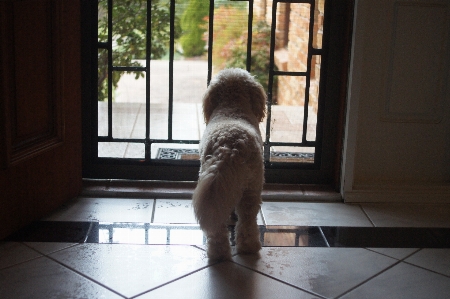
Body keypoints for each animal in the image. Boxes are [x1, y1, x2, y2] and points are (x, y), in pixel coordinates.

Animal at [192, 68, 266, 260]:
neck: (232, 106)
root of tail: (229, 146)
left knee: (219, 227)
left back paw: (218, 252)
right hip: (252, 186)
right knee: (247, 219)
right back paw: (249, 247)